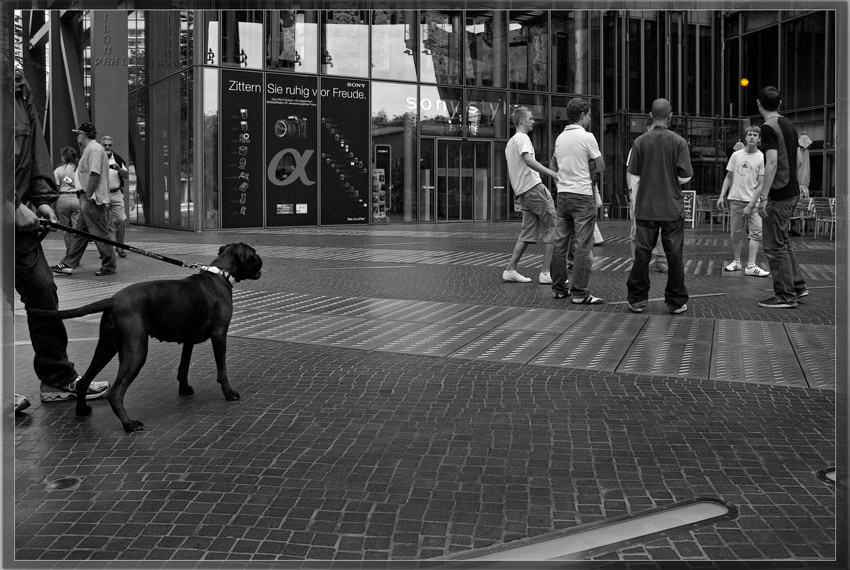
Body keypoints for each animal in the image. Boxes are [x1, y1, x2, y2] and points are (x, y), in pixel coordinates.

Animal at [29, 241, 262, 430]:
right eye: (254, 253)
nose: (261, 260)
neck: (220, 273)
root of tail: (113, 300)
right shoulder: (219, 335)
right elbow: (222, 371)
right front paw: (229, 393)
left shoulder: (188, 340)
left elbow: (183, 367)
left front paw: (184, 388)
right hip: (136, 352)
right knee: (116, 393)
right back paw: (129, 424)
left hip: (106, 348)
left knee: (84, 381)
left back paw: (82, 410)